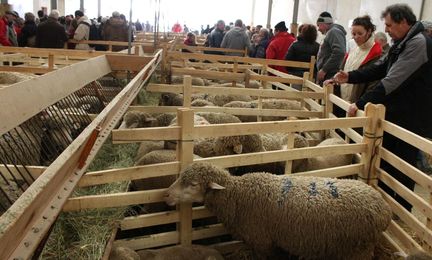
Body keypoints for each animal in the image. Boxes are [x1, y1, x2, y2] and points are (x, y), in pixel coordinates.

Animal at [166, 162, 394, 260]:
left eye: (193, 184)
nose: (166, 195)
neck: (238, 194)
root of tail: (385, 209)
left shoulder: (262, 241)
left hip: (359, 248)